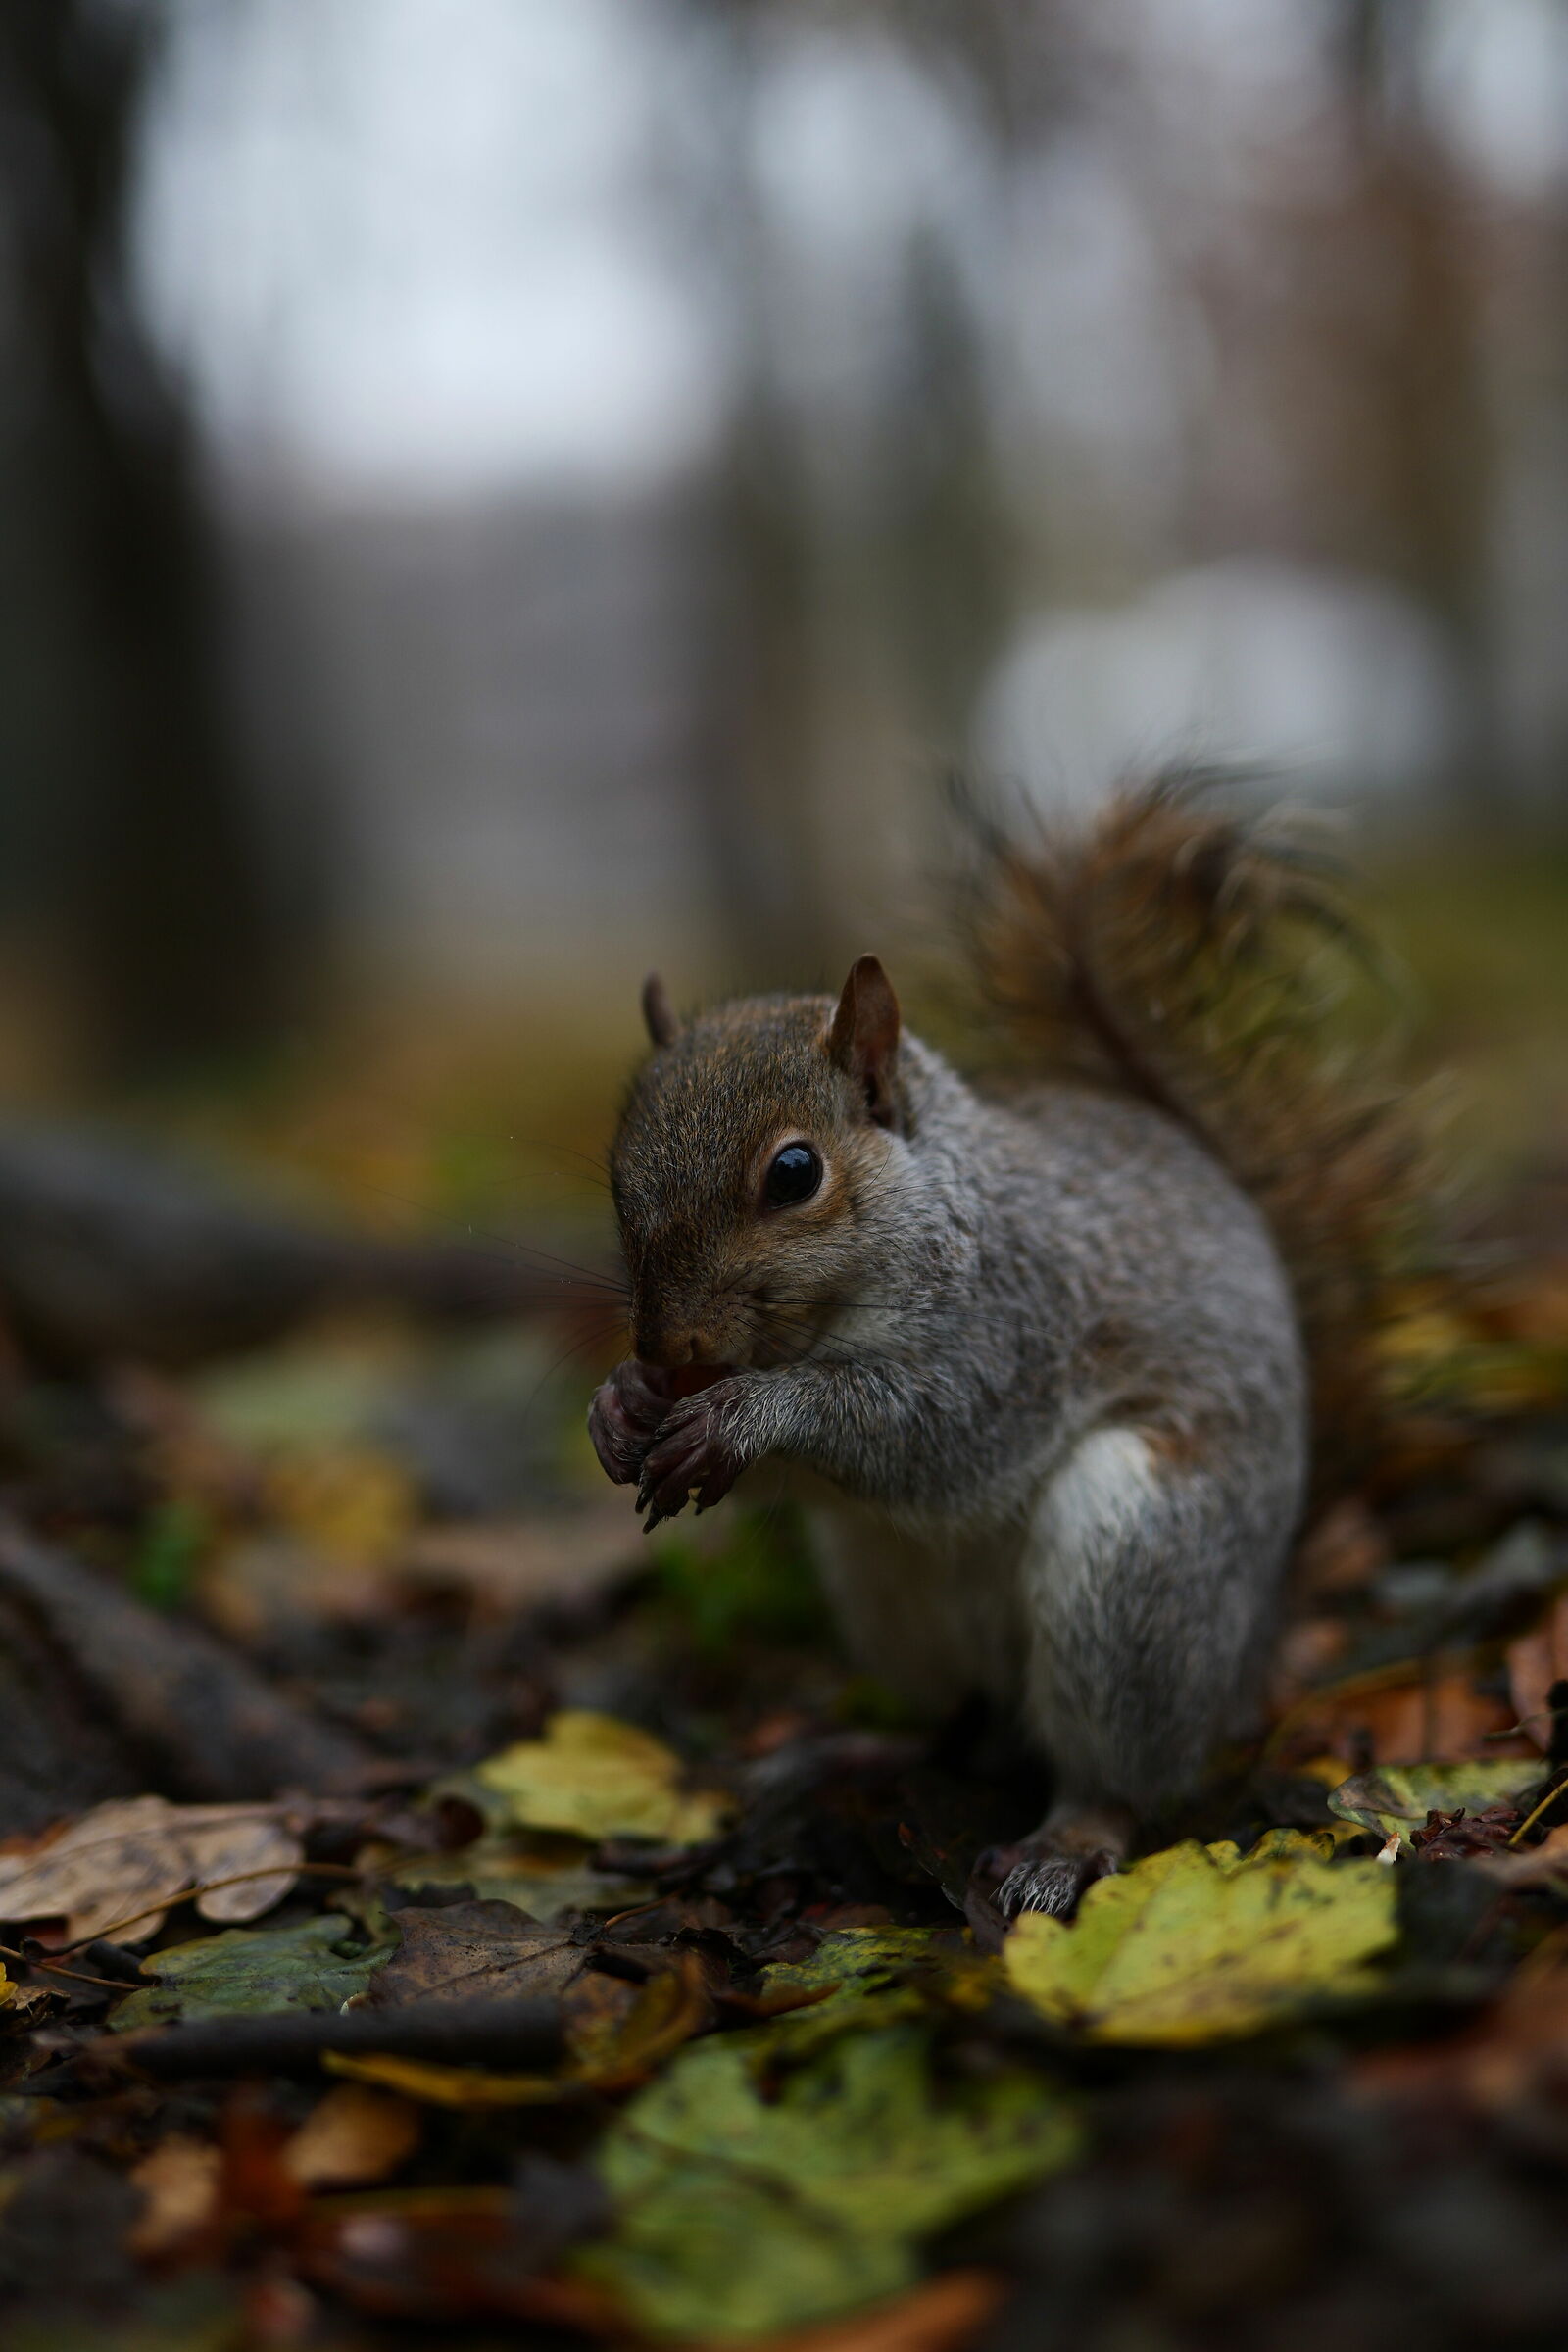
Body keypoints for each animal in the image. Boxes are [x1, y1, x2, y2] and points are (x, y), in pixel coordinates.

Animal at [588, 778, 1425, 1917]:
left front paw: (746, 1412)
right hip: (884, 1591)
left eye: (795, 1173)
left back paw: (1068, 1839)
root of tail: (1253, 1639)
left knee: (1118, 1767)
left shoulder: (1017, 1327)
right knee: (970, 1714)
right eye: (616, 1175)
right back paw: (864, 1752)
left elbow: (932, 1432)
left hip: (1136, 1566)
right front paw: (622, 1403)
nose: (669, 1343)